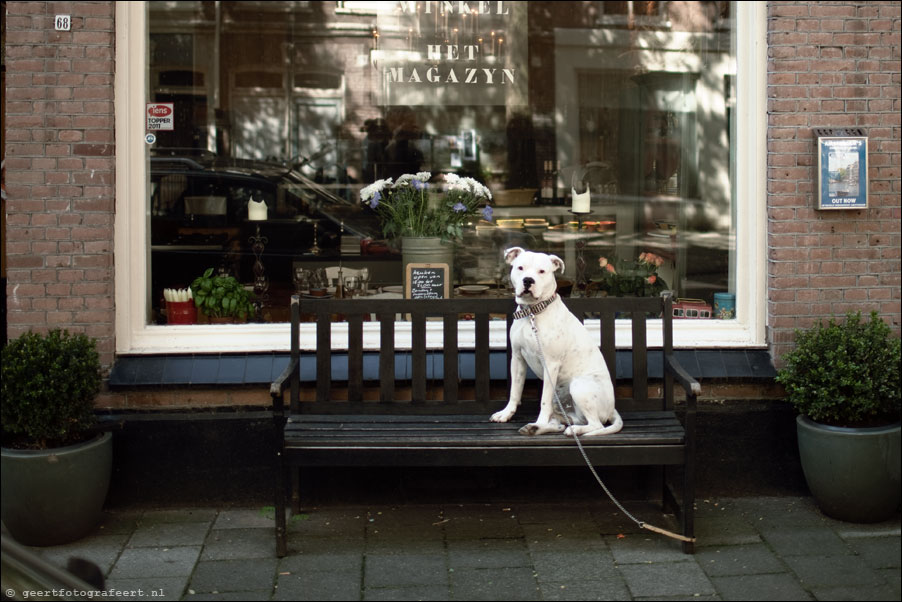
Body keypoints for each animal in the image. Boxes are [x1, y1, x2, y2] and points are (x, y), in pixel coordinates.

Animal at [490, 245, 624, 436]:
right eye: (520, 268)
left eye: (542, 271)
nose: (528, 280)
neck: (533, 313)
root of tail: (612, 409)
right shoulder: (517, 358)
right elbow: (515, 391)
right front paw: (506, 413)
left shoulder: (550, 364)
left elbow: (543, 401)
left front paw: (539, 419)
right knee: (562, 421)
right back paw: (537, 428)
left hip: (579, 386)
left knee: (595, 424)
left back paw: (569, 429)